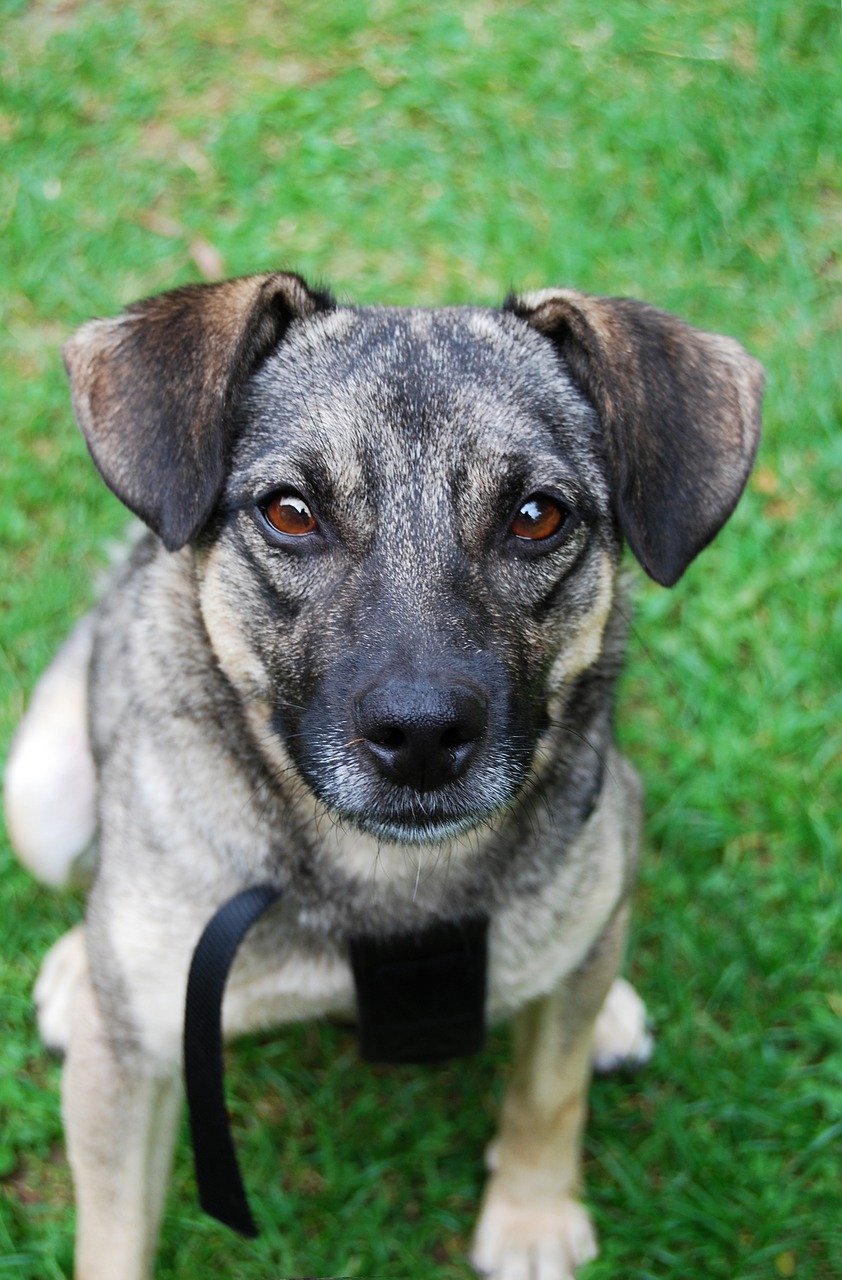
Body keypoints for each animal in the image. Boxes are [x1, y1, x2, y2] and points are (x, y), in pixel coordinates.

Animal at [3, 272, 762, 1280]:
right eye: (290, 511)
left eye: (538, 516)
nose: (424, 735)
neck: (388, 882)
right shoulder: (130, 1075)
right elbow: (114, 1237)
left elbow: (549, 1089)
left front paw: (530, 1214)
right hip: (38, 800)